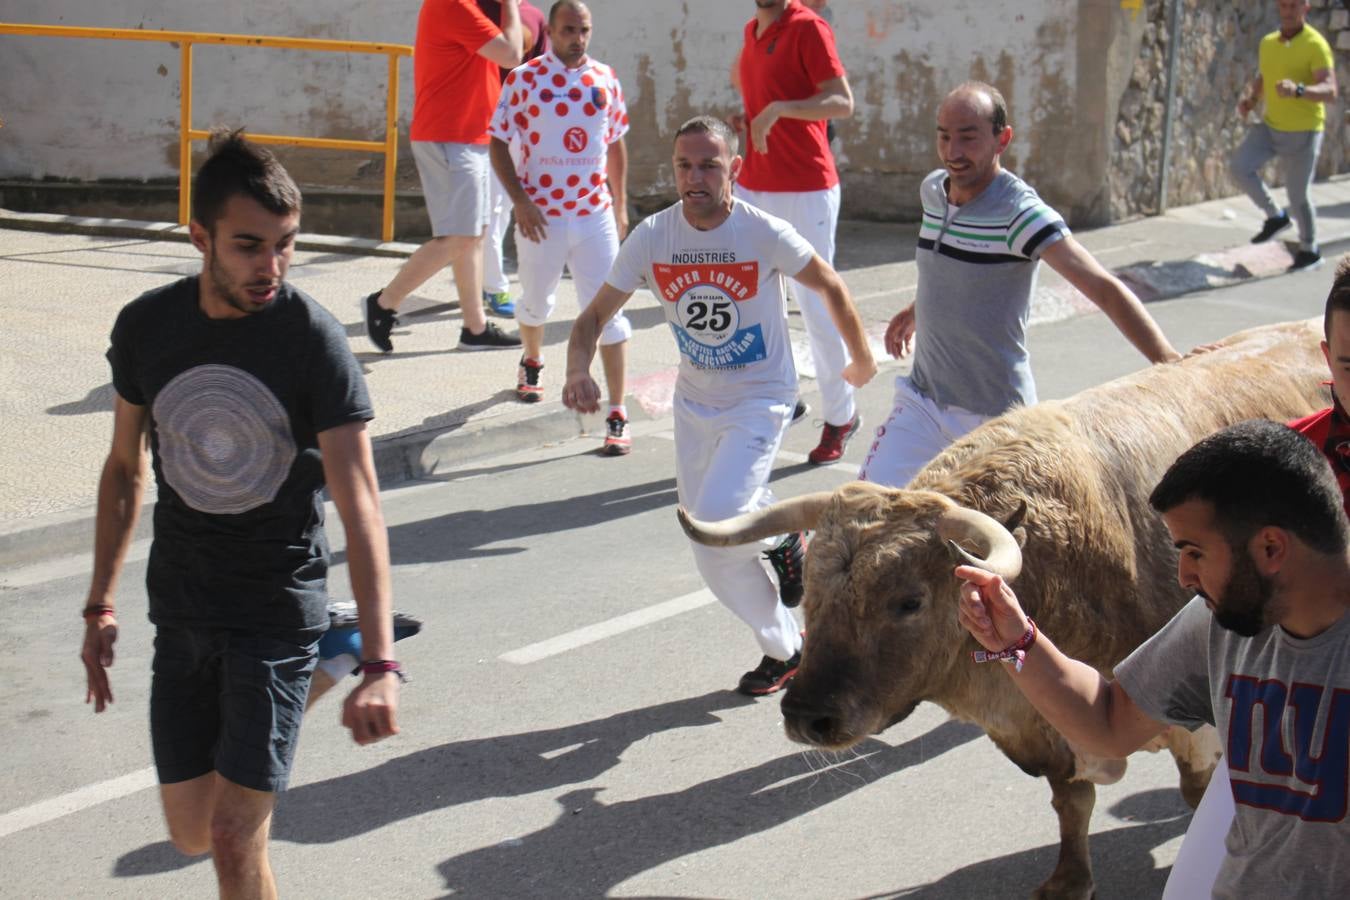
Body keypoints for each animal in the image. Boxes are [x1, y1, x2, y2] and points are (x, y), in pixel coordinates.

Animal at [680, 319, 1333, 895]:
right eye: (810, 594)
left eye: (909, 601)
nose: (806, 715)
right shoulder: (1042, 732)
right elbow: (1072, 801)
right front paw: (1070, 880)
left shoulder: (1189, 719)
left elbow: (1199, 795)